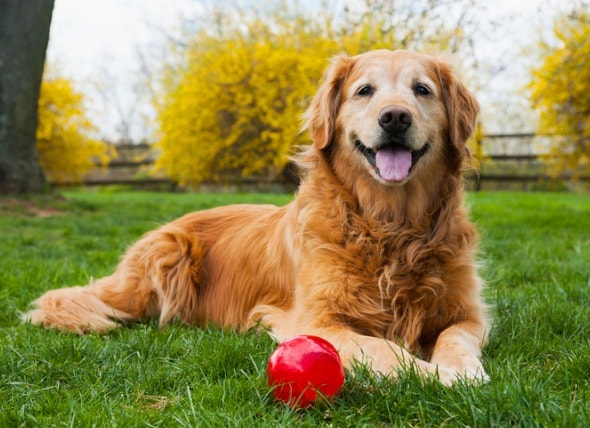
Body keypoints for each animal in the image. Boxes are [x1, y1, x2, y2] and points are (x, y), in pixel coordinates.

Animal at [24, 49, 490, 384]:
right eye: (365, 91)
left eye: (422, 89)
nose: (395, 117)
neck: (391, 225)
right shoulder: (314, 319)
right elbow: (383, 348)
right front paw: (434, 375)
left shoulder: (468, 313)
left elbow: (455, 338)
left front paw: (461, 371)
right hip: (163, 259)